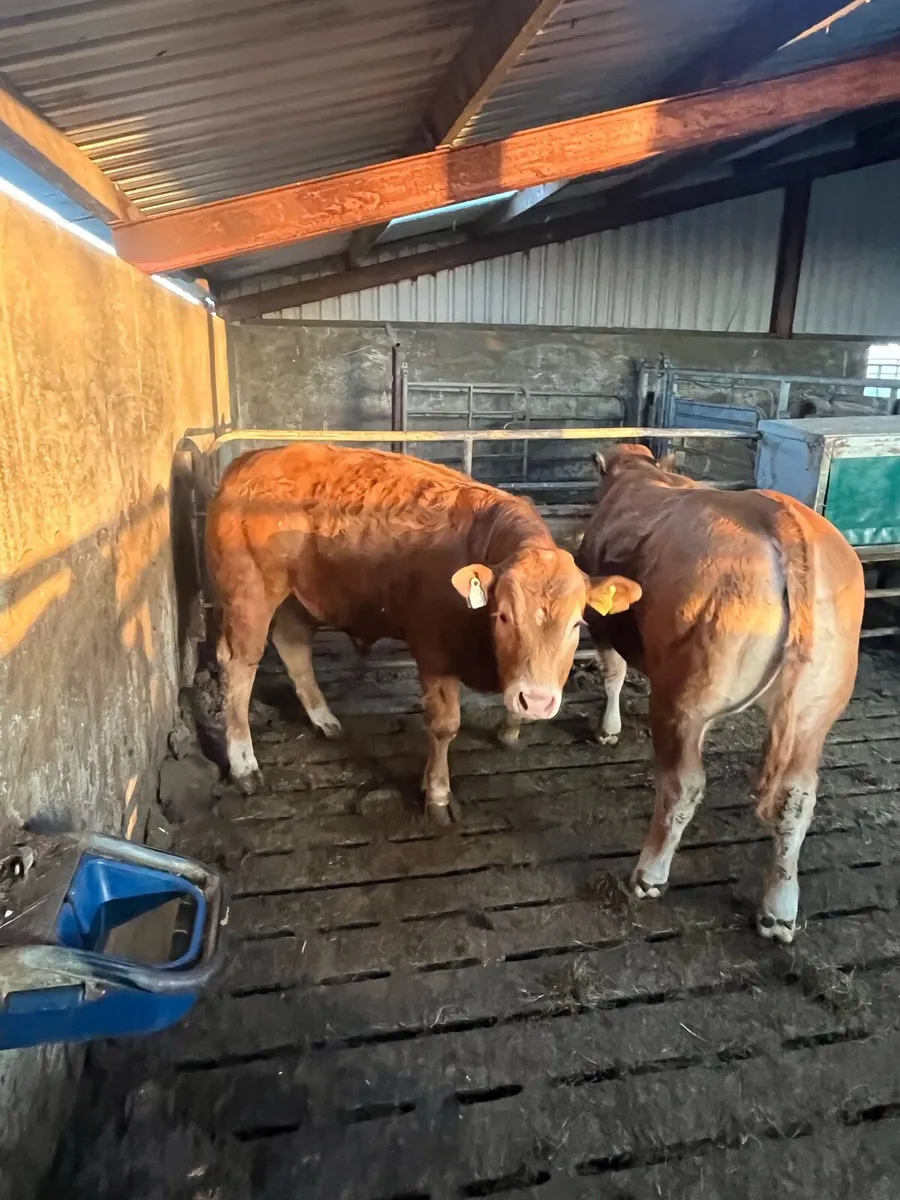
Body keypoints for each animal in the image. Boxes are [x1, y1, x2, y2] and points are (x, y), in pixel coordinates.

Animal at [205, 443, 642, 823]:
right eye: (503, 616)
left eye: (577, 624)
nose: (537, 700)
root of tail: (250, 460)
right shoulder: (434, 652)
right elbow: (444, 726)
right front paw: (437, 795)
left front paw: (511, 728)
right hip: (249, 593)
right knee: (240, 665)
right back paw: (244, 764)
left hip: (297, 595)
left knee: (293, 645)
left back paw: (324, 719)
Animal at [576, 443, 865, 944]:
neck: (638, 474)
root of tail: (780, 516)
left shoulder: (603, 624)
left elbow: (613, 673)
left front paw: (607, 729)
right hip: (815, 711)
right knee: (797, 798)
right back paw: (778, 910)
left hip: (685, 698)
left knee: (683, 786)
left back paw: (649, 875)